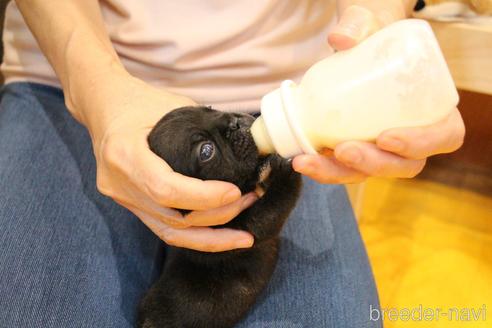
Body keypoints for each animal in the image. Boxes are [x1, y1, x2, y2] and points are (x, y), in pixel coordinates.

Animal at [136, 106, 302, 326]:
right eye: (207, 151)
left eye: (210, 109)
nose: (234, 122)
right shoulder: (247, 227)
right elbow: (276, 204)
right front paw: (285, 169)